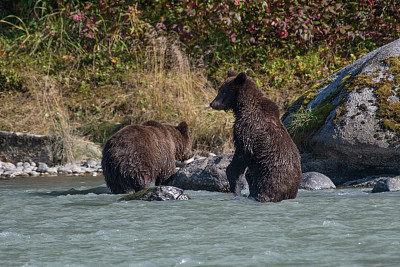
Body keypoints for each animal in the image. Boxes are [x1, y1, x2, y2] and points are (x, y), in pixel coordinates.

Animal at [209, 71, 300, 203]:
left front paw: (233, 178)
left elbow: (242, 153)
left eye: (224, 91)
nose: (212, 104)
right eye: (220, 90)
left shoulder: (248, 130)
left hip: (269, 178)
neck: (243, 107)